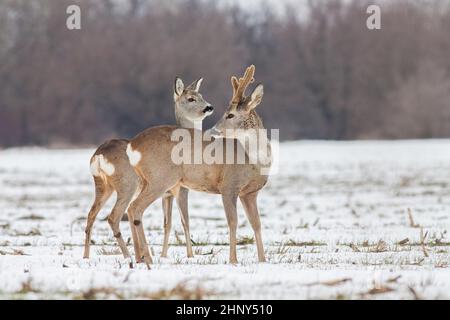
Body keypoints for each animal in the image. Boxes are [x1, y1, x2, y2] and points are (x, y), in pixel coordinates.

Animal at [82, 77, 213, 264]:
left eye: (201, 95)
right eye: (191, 99)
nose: (209, 107)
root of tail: (98, 155)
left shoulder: (167, 194)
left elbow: (167, 223)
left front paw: (163, 255)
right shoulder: (181, 189)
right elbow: (185, 220)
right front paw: (190, 255)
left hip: (103, 185)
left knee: (91, 215)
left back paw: (87, 256)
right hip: (127, 185)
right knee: (116, 216)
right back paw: (129, 256)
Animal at [125, 63, 270, 266]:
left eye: (230, 114)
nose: (214, 129)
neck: (254, 160)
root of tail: (132, 145)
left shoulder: (250, 193)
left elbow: (256, 224)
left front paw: (263, 259)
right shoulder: (228, 186)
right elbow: (232, 221)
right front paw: (233, 260)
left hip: (146, 180)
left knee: (131, 210)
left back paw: (140, 257)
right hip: (160, 178)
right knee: (135, 208)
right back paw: (148, 258)